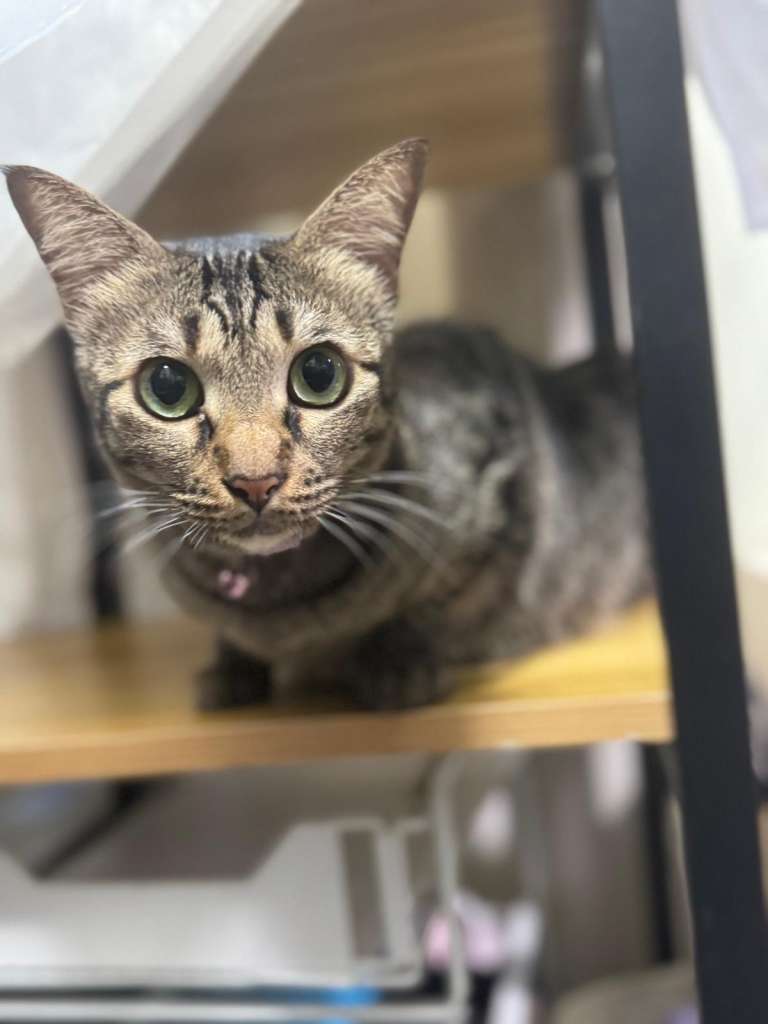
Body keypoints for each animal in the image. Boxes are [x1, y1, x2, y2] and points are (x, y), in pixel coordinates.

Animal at [4, 140, 650, 710]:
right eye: (167, 387)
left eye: (319, 374)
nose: (256, 480)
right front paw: (232, 667)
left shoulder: (502, 468)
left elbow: (435, 610)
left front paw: (397, 664)